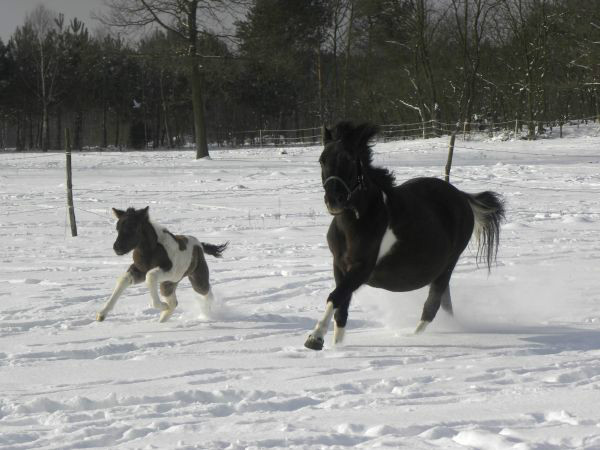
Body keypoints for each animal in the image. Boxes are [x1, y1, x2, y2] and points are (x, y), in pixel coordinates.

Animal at [96, 207, 227, 324]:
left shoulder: (169, 271)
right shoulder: (139, 270)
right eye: (118, 228)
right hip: (168, 284)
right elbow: (123, 279)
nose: (117, 248)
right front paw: (101, 314)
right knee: (174, 302)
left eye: (133, 227)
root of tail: (199, 245)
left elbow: (150, 276)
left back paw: (209, 314)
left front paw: (163, 305)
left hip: (196, 278)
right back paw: (162, 320)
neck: (150, 251)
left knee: (206, 292)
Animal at [304, 121, 506, 350]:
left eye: (349, 158)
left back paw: (412, 338)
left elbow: (335, 297)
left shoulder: (362, 269)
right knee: (444, 303)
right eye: (322, 159)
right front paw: (335, 346)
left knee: (432, 305)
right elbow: (341, 309)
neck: (354, 223)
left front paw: (315, 338)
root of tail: (462, 196)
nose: (333, 201)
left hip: (448, 265)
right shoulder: (339, 266)